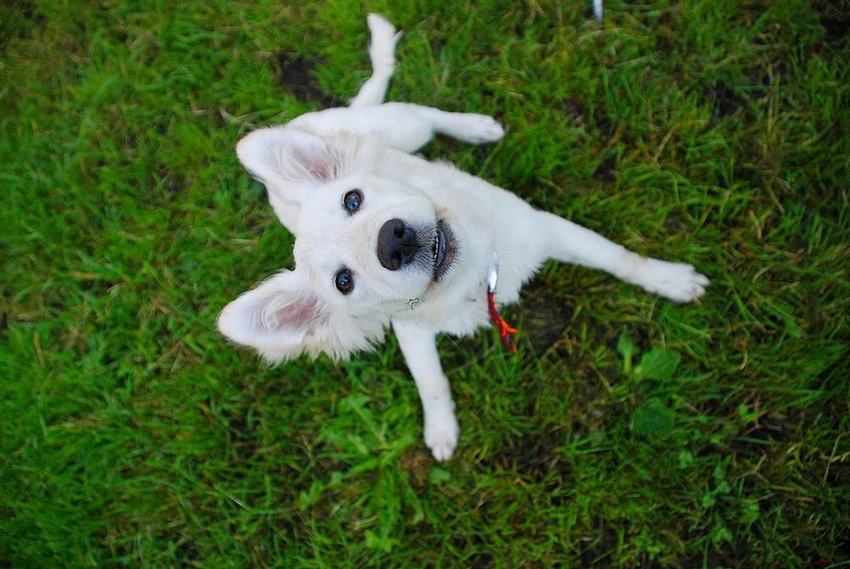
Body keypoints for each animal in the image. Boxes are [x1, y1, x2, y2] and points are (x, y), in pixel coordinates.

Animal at [215, 14, 704, 462]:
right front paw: (441, 428)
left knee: (422, 111)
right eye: (343, 282)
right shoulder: (411, 330)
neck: (471, 273)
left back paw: (475, 127)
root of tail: (335, 116)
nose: (392, 242)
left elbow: (620, 257)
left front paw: (671, 280)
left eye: (352, 199)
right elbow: (429, 380)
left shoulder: (545, 227)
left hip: (400, 128)